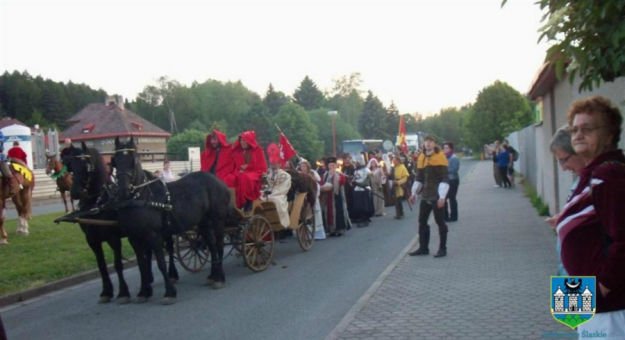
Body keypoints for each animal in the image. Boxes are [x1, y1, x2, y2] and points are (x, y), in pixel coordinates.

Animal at [111, 137, 230, 304]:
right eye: (115, 160)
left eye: (133, 160)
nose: (123, 189)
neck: (140, 198)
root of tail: (212, 175)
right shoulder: (134, 238)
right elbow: (142, 264)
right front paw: (143, 291)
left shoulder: (153, 236)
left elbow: (161, 263)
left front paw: (169, 292)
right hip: (203, 223)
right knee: (211, 246)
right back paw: (213, 275)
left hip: (217, 219)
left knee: (219, 246)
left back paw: (220, 277)